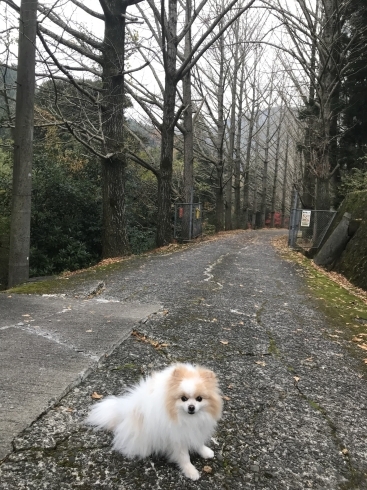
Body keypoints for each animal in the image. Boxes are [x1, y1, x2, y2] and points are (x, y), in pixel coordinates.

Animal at [86, 362, 223, 480]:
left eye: (199, 398)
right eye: (183, 398)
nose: (191, 407)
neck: (188, 419)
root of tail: (125, 410)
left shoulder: (196, 429)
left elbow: (198, 442)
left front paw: (205, 451)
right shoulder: (177, 437)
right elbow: (184, 456)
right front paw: (190, 471)